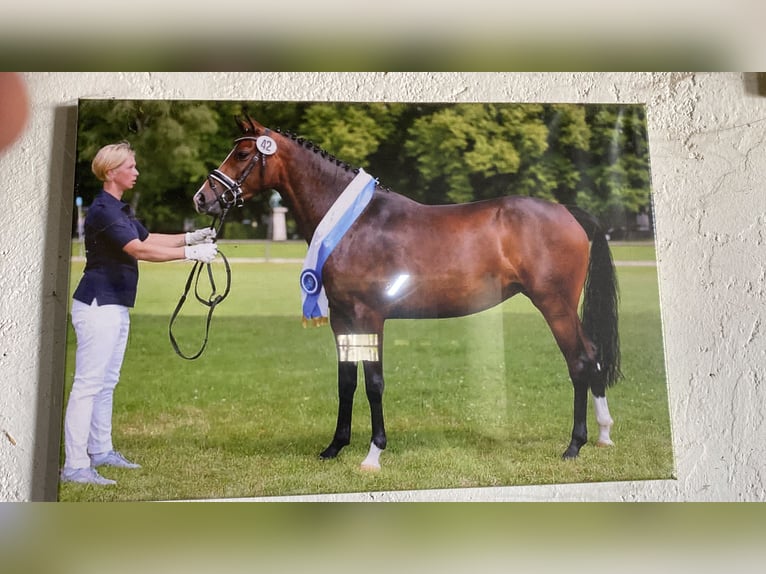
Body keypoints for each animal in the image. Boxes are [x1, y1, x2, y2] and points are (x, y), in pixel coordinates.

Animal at [195, 117, 620, 472]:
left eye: (243, 154)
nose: (202, 198)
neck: (355, 224)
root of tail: (567, 211)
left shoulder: (369, 316)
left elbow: (374, 382)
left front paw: (373, 453)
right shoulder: (342, 318)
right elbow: (346, 381)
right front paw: (335, 447)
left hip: (555, 305)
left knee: (580, 362)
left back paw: (575, 445)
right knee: (594, 356)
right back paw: (603, 434)